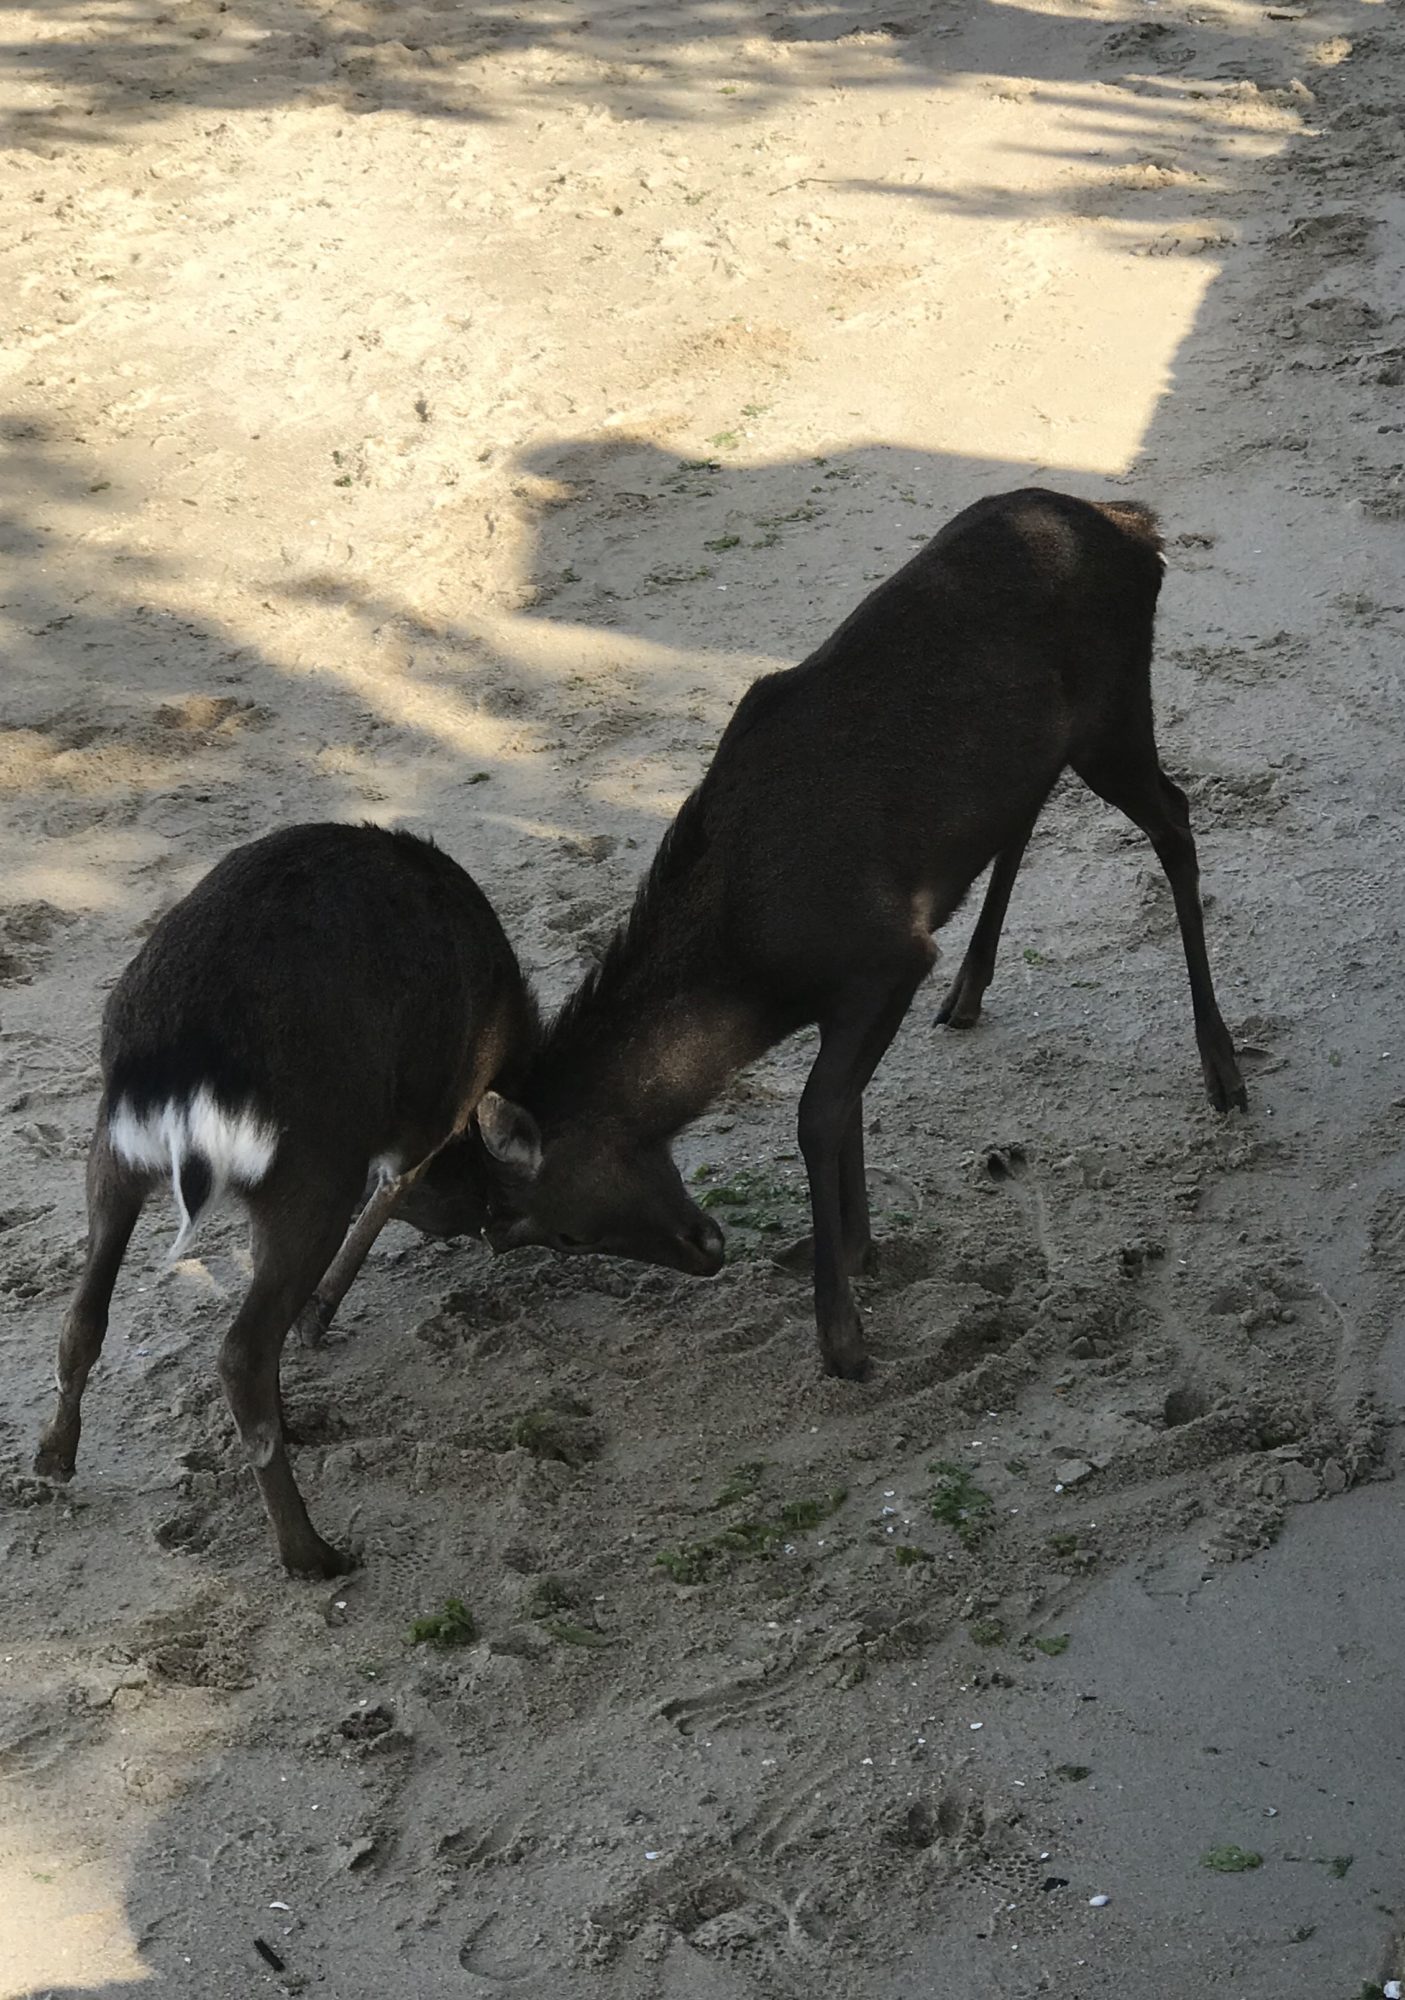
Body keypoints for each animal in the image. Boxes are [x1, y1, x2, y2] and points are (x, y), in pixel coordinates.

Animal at [34, 828, 540, 1576]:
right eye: (480, 1169)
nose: (483, 1216)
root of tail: (188, 1069)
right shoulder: (418, 1128)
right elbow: (391, 1190)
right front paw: (317, 1320)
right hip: (307, 1178)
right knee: (241, 1352)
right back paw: (312, 1553)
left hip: (112, 1155)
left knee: (82, 1315)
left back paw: (52, 1460)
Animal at [476, 492, 1256, 1384]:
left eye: (565, 1229)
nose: (706, 1250)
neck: (756, 976)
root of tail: (1134, 528)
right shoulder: (847, 992)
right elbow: (842, 1100)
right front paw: (853, 1250)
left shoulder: (885, 957)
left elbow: (818, 1111)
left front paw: (841, 1331)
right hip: (1040, 748)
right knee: (1031, 812)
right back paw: (970, 989)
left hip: (1116, 712)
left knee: (1175, 821)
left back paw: (1221, 1066)